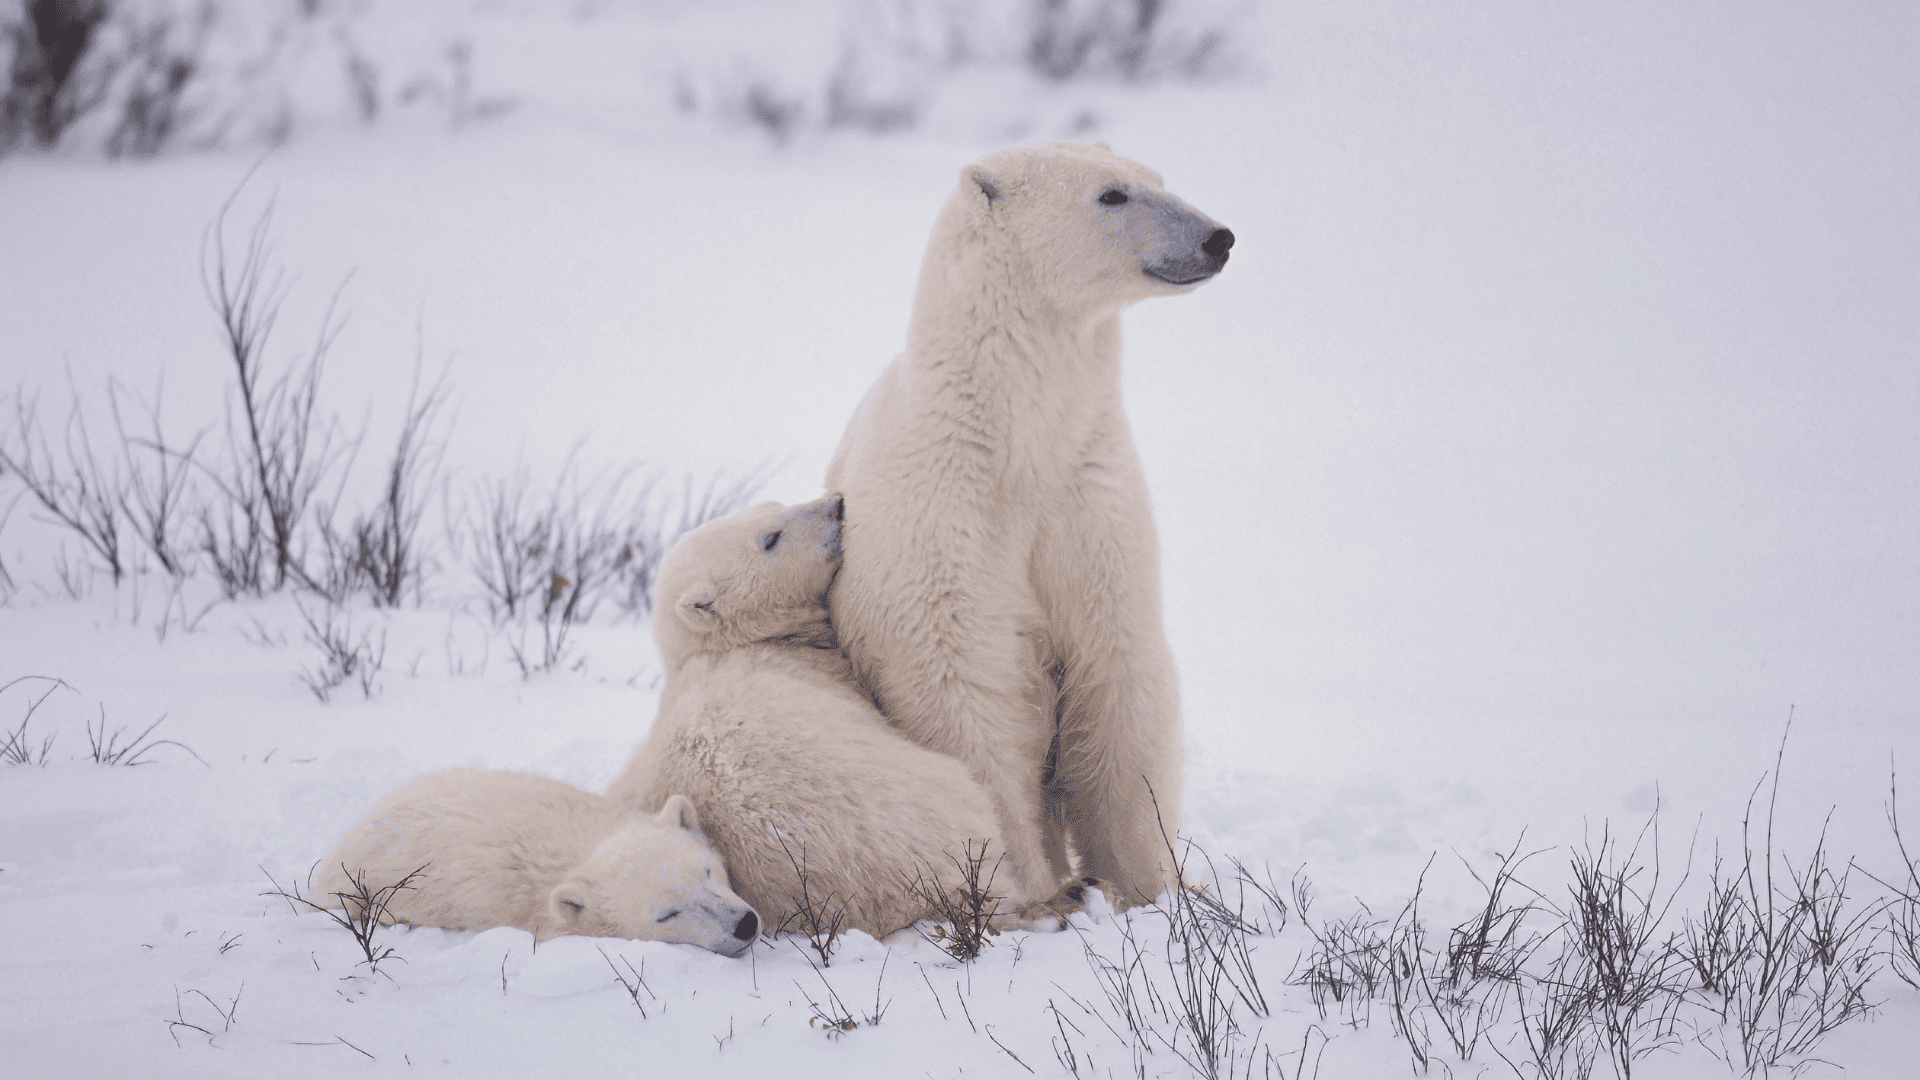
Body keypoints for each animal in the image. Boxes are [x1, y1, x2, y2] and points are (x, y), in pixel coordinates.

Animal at [821, 141, 1228, 899]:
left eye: (1160, 179)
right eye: (1112, 194)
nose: (1218, 237)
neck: (1016, 444)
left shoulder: (1090, 502)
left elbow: (1117, 671)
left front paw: (1151, 885)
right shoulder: (946, 519)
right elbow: (967, 693)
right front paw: (1036, 887)